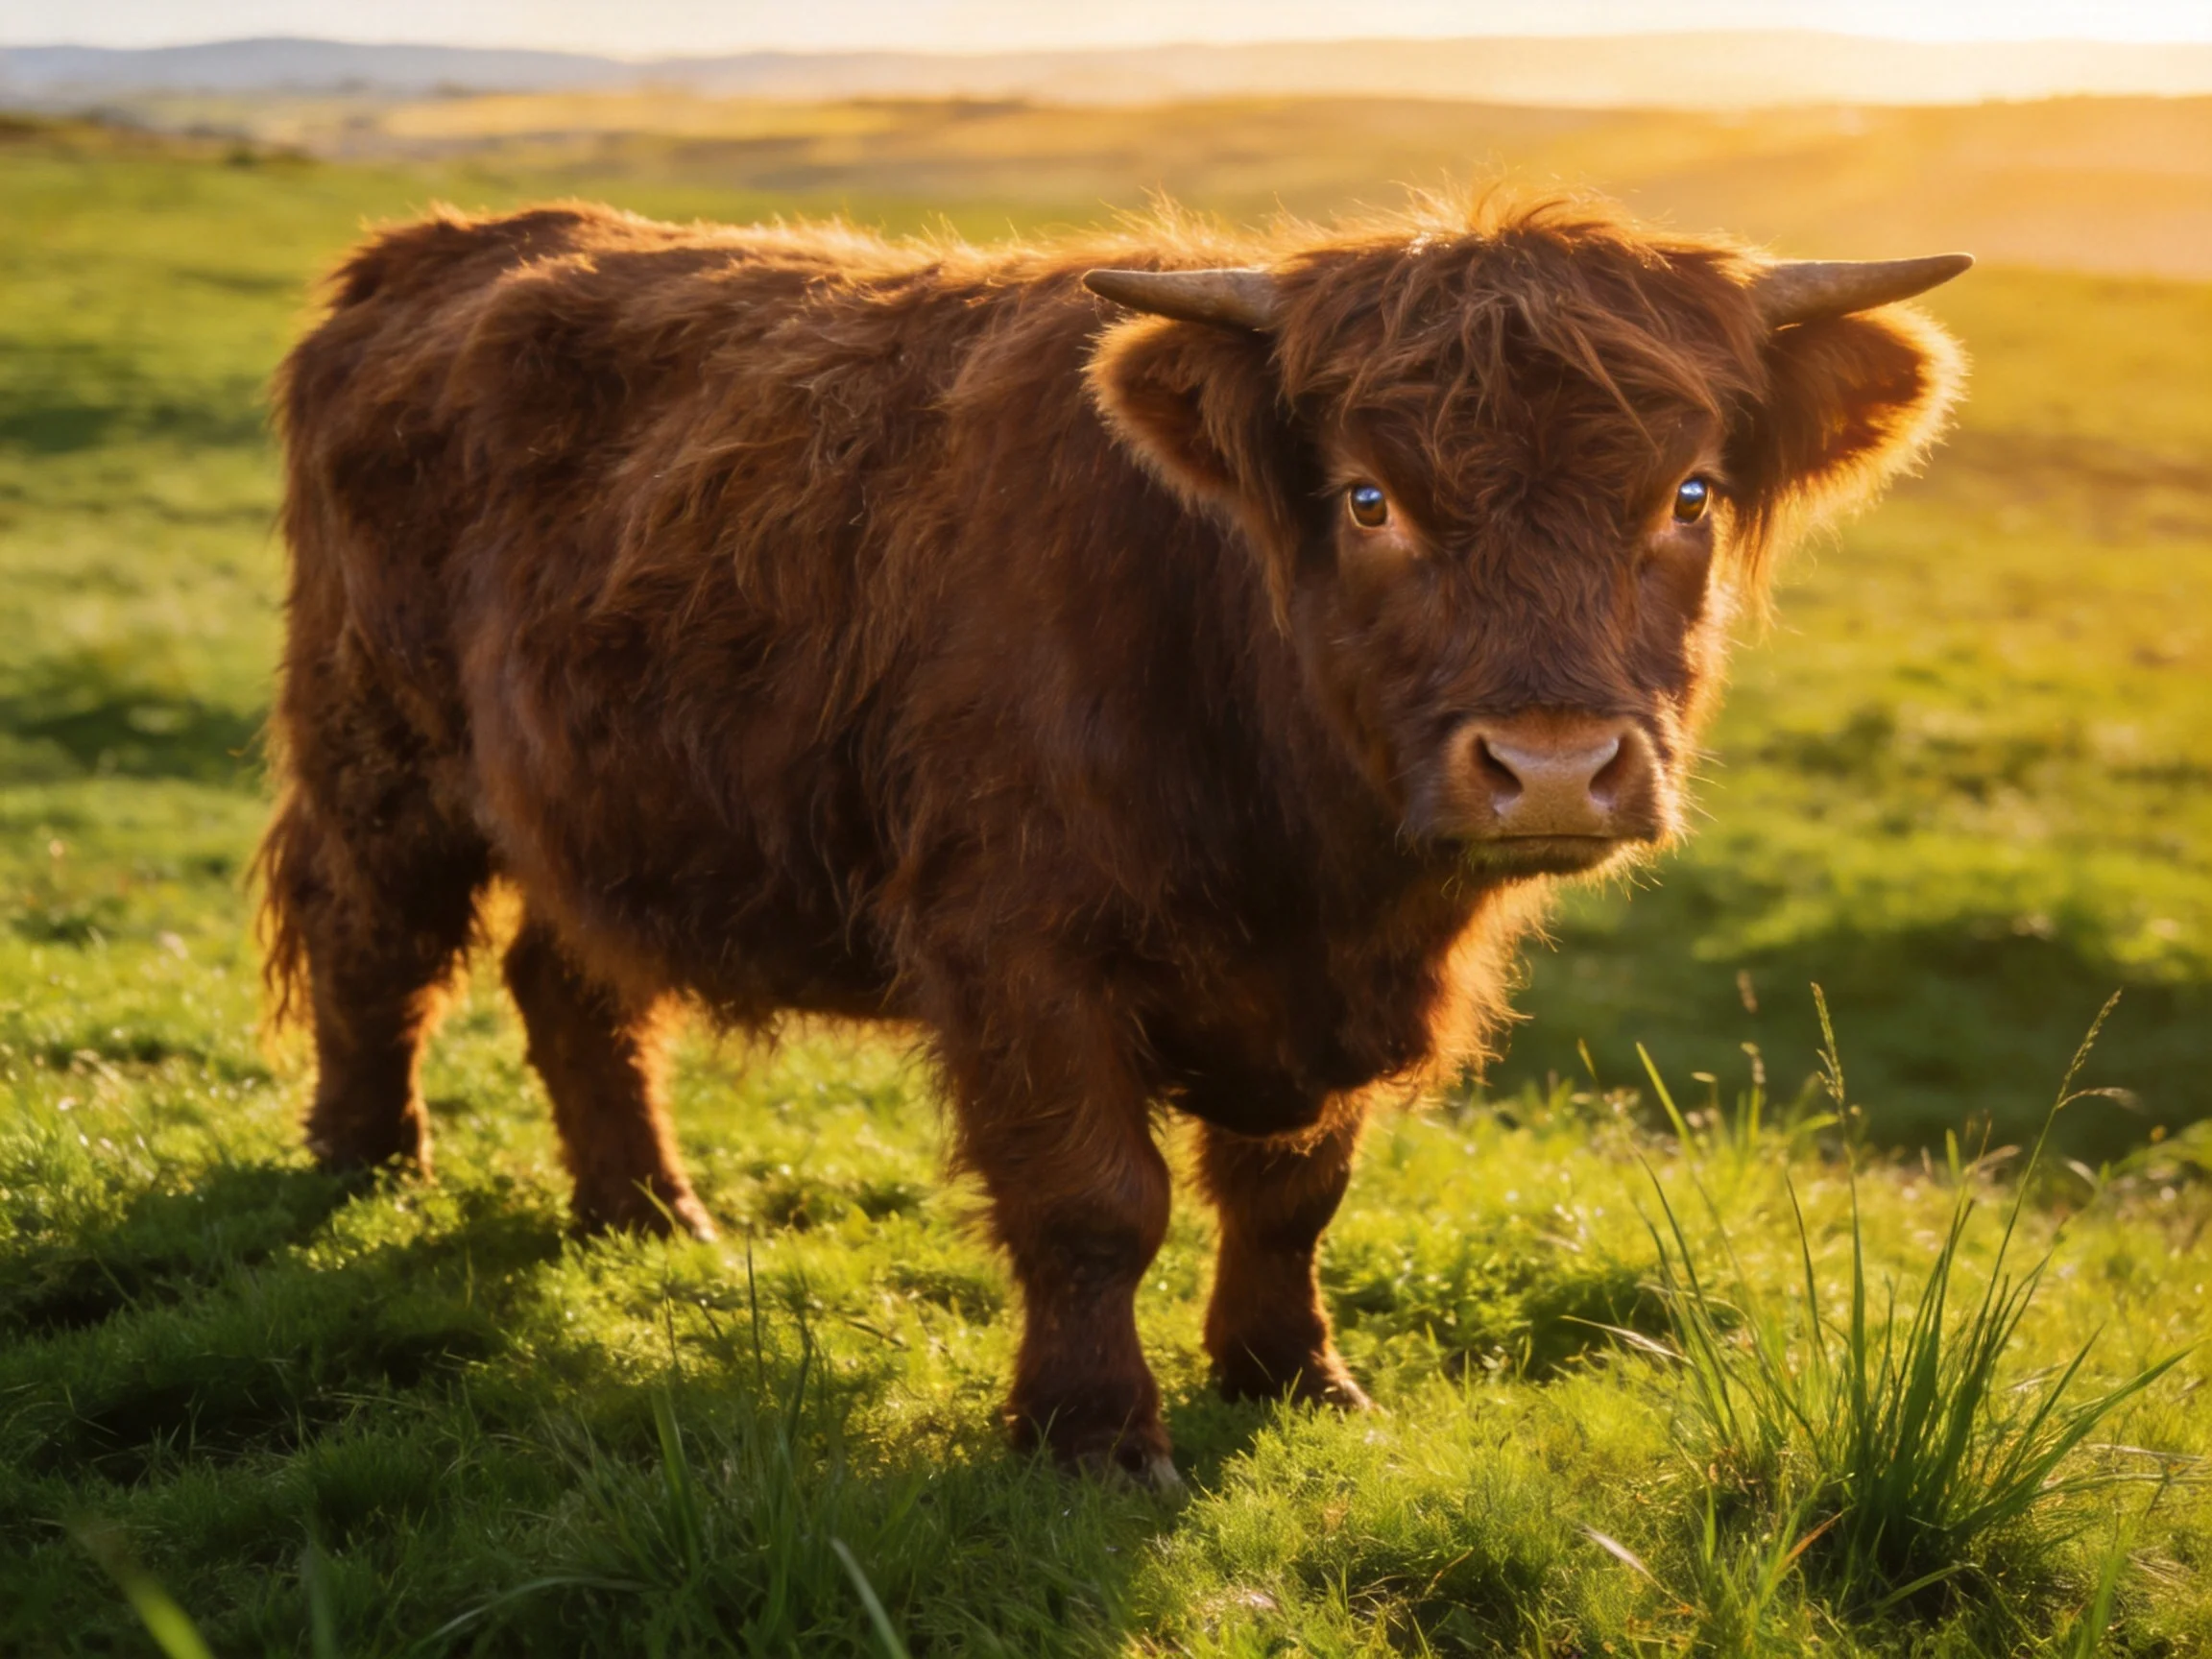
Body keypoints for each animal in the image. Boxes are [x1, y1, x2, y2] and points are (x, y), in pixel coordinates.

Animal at [258, 194, 1966, 1486]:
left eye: (1688, 492)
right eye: (1368, 499)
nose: (1549, 766)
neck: (1312, 857)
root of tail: (438, 247)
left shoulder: (1319, 996)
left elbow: (1294, 1189)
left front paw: (1292, 1375)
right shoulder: (1016, 947)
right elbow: (1095, 1200)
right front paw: (1090, 1436)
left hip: (595, 799)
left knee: (574, 982)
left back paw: (646, 1208)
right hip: (381, 749)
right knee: (373, 941)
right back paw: (370, 1163)